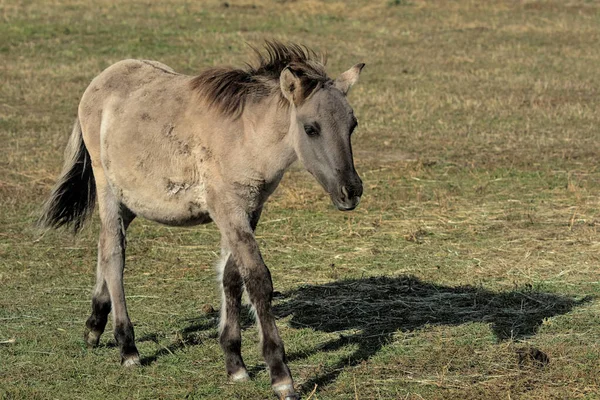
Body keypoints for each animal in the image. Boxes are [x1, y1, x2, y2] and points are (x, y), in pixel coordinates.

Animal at [41, 42, 366, 398]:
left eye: (352, 125)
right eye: (311, 128)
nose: (351, 191)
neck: (245, 136)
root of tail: (101, 80)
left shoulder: (249, 209)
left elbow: (231, 277)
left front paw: (234, 362)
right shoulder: (229, 209)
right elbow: (257, 279)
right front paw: (281, 376)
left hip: (131, 200)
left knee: (104, 246)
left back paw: (94, 326)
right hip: (108, 190)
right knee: (114, 254)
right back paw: (128, 348)